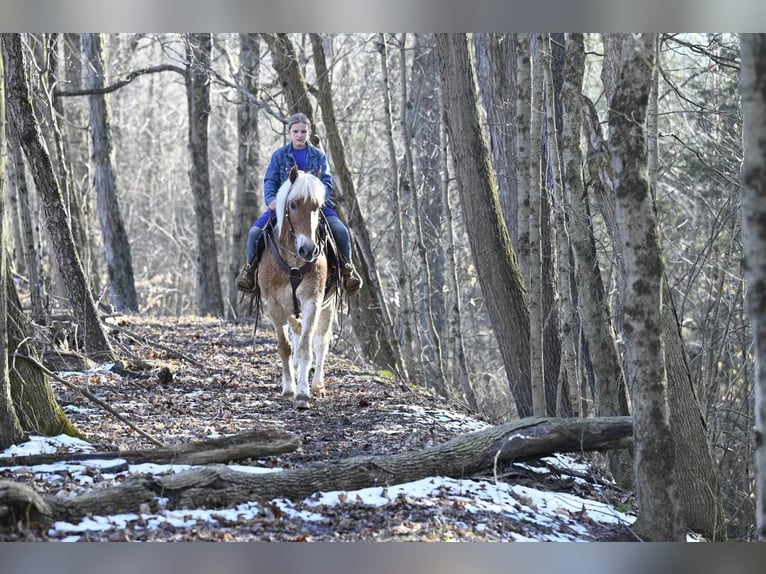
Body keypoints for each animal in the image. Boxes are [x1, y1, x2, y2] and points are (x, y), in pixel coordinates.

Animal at [256, 164, 338, 412]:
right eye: (293, 205)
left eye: (318, 207)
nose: (308, 250)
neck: (293, 260)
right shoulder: (274, 304)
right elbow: (285, 346)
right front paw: (289, 388)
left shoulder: (313, 301)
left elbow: (305, 347)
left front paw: (303, 393)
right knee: (296, 332)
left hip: (328, 306)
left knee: (320, 341)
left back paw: (317, 385)